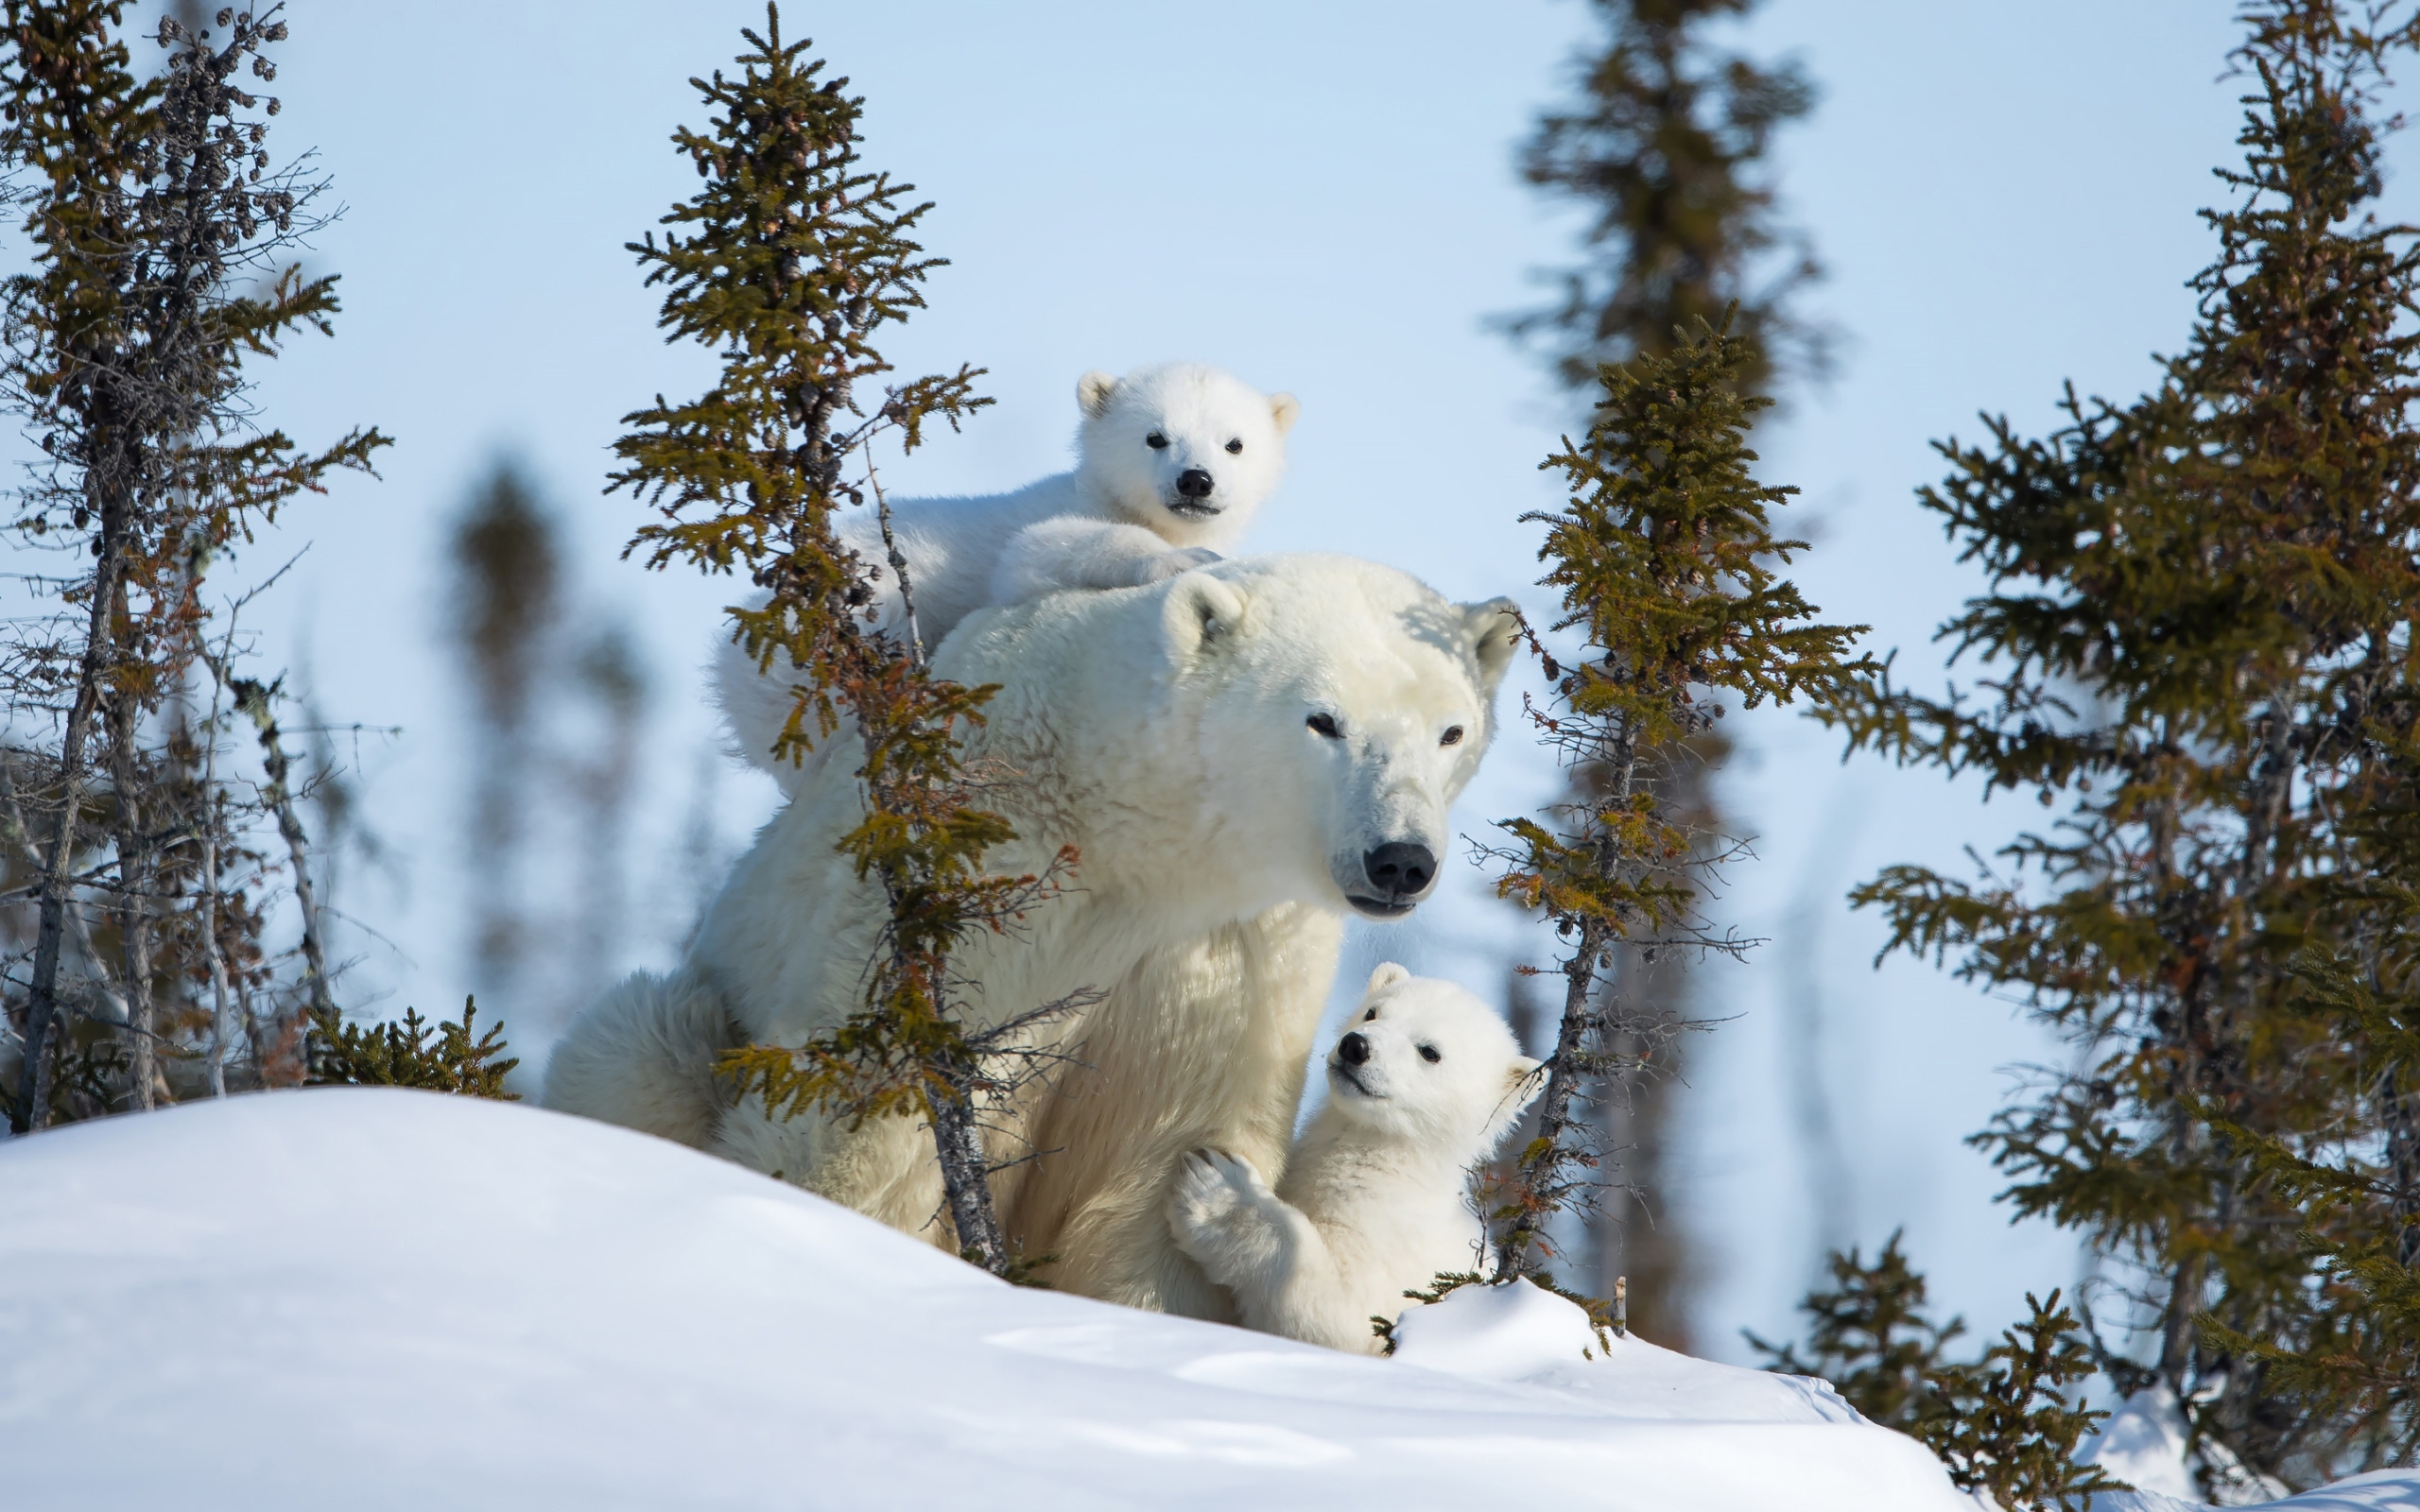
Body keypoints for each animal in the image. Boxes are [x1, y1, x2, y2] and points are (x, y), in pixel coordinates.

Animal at [549, 551, 1510, 1306]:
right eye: (1323, 720)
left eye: (1450, 731)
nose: (1400, 860)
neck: (1134, 839)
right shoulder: (969, 867)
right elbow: (865, 1104)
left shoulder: (1231, 953)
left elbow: (1157, 1156)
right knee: (641, 1039)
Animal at [706, 360, 1297, 774]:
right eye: (1155, 436)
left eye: (1234, 443)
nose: (1195, 480)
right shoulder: (1044, 524)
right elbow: (1037, 549)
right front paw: (1185, 557)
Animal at [1161, 968, 1539, 1354]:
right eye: (1373, 1012)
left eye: (1430, 1051)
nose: (1356, 1046)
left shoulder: (1390, 1256)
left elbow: (1338, 1314)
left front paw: (1218, 1188)